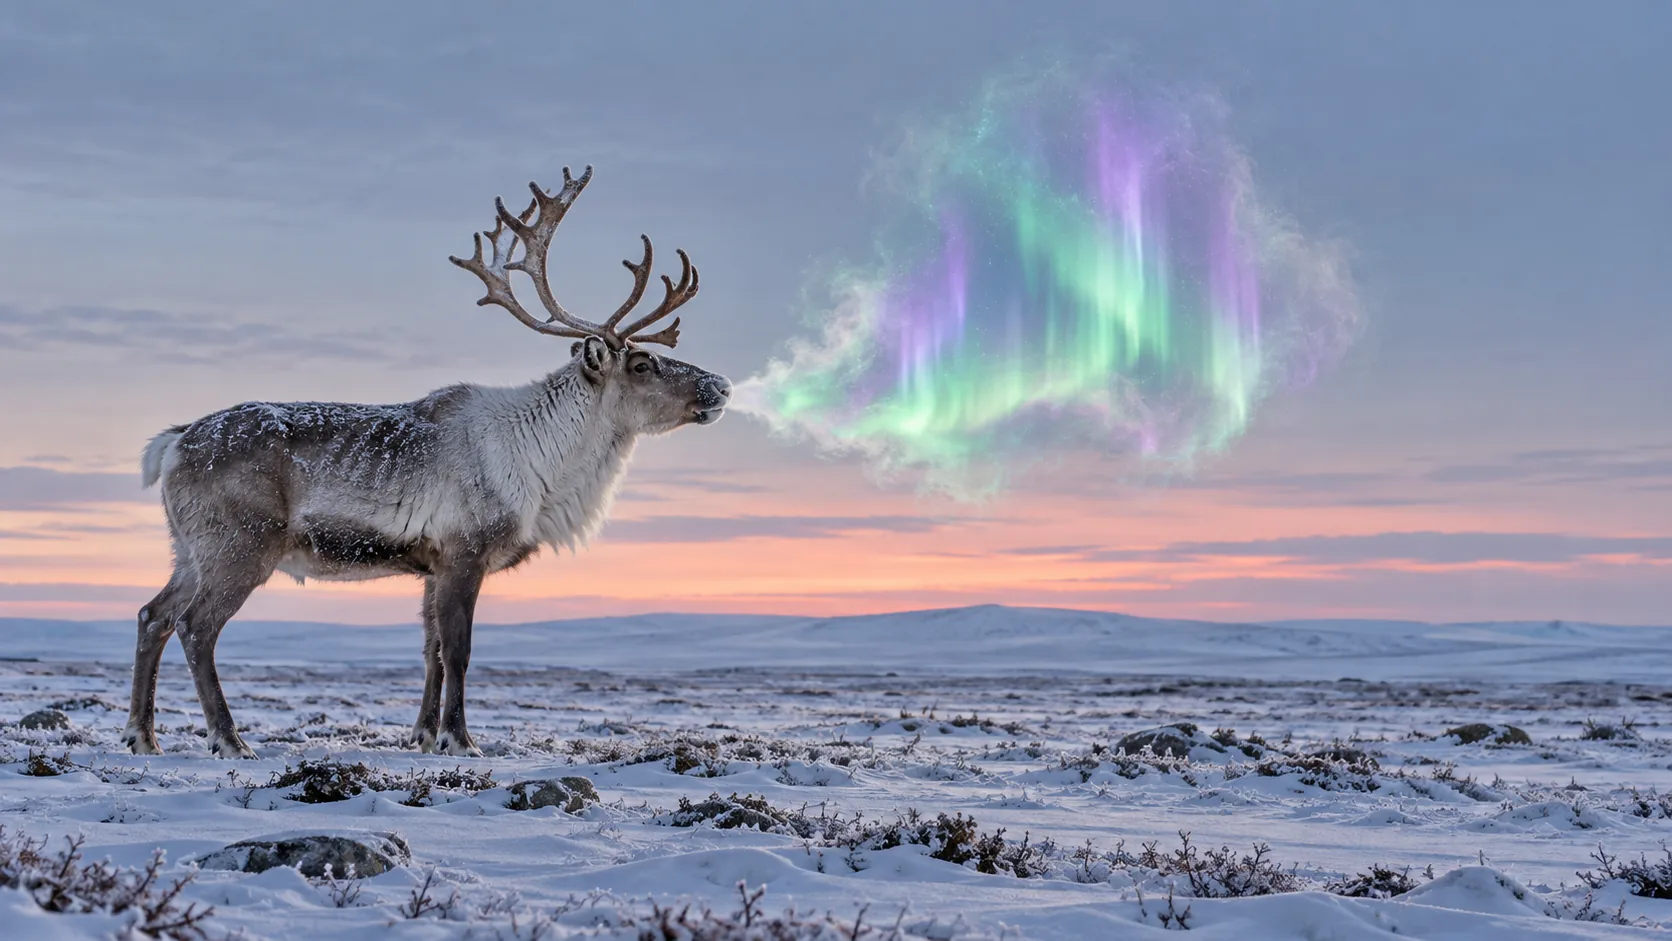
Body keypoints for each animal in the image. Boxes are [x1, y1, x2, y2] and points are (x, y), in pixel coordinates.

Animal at [122, 166, 731, 758]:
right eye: (643, 364)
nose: (722, 385)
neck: (546, 468)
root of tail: (174, 442)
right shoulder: (465, 553)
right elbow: (458, 651)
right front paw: (461, 740)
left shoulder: (432, 567)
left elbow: (431, 651)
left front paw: (422, 736)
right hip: (241, 546)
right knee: (196, 627)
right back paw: (229, 740)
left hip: (189, 549)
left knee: (153, 615)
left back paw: (143, 736)